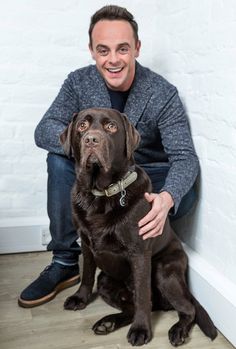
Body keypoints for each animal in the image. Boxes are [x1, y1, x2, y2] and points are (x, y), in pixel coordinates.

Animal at [60, 106, 217, 346]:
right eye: (82, 126)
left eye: (111, 126)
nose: (91, 139)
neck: (101, 195)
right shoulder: (85, 243)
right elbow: (86, 274)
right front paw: (80, 298)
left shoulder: (139, 253)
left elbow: (143, 296)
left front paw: (141, 330)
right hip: (106, 280)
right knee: (130, 307)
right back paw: (108, 323)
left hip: (163, 271)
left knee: (186, 308)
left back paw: (177, 331)